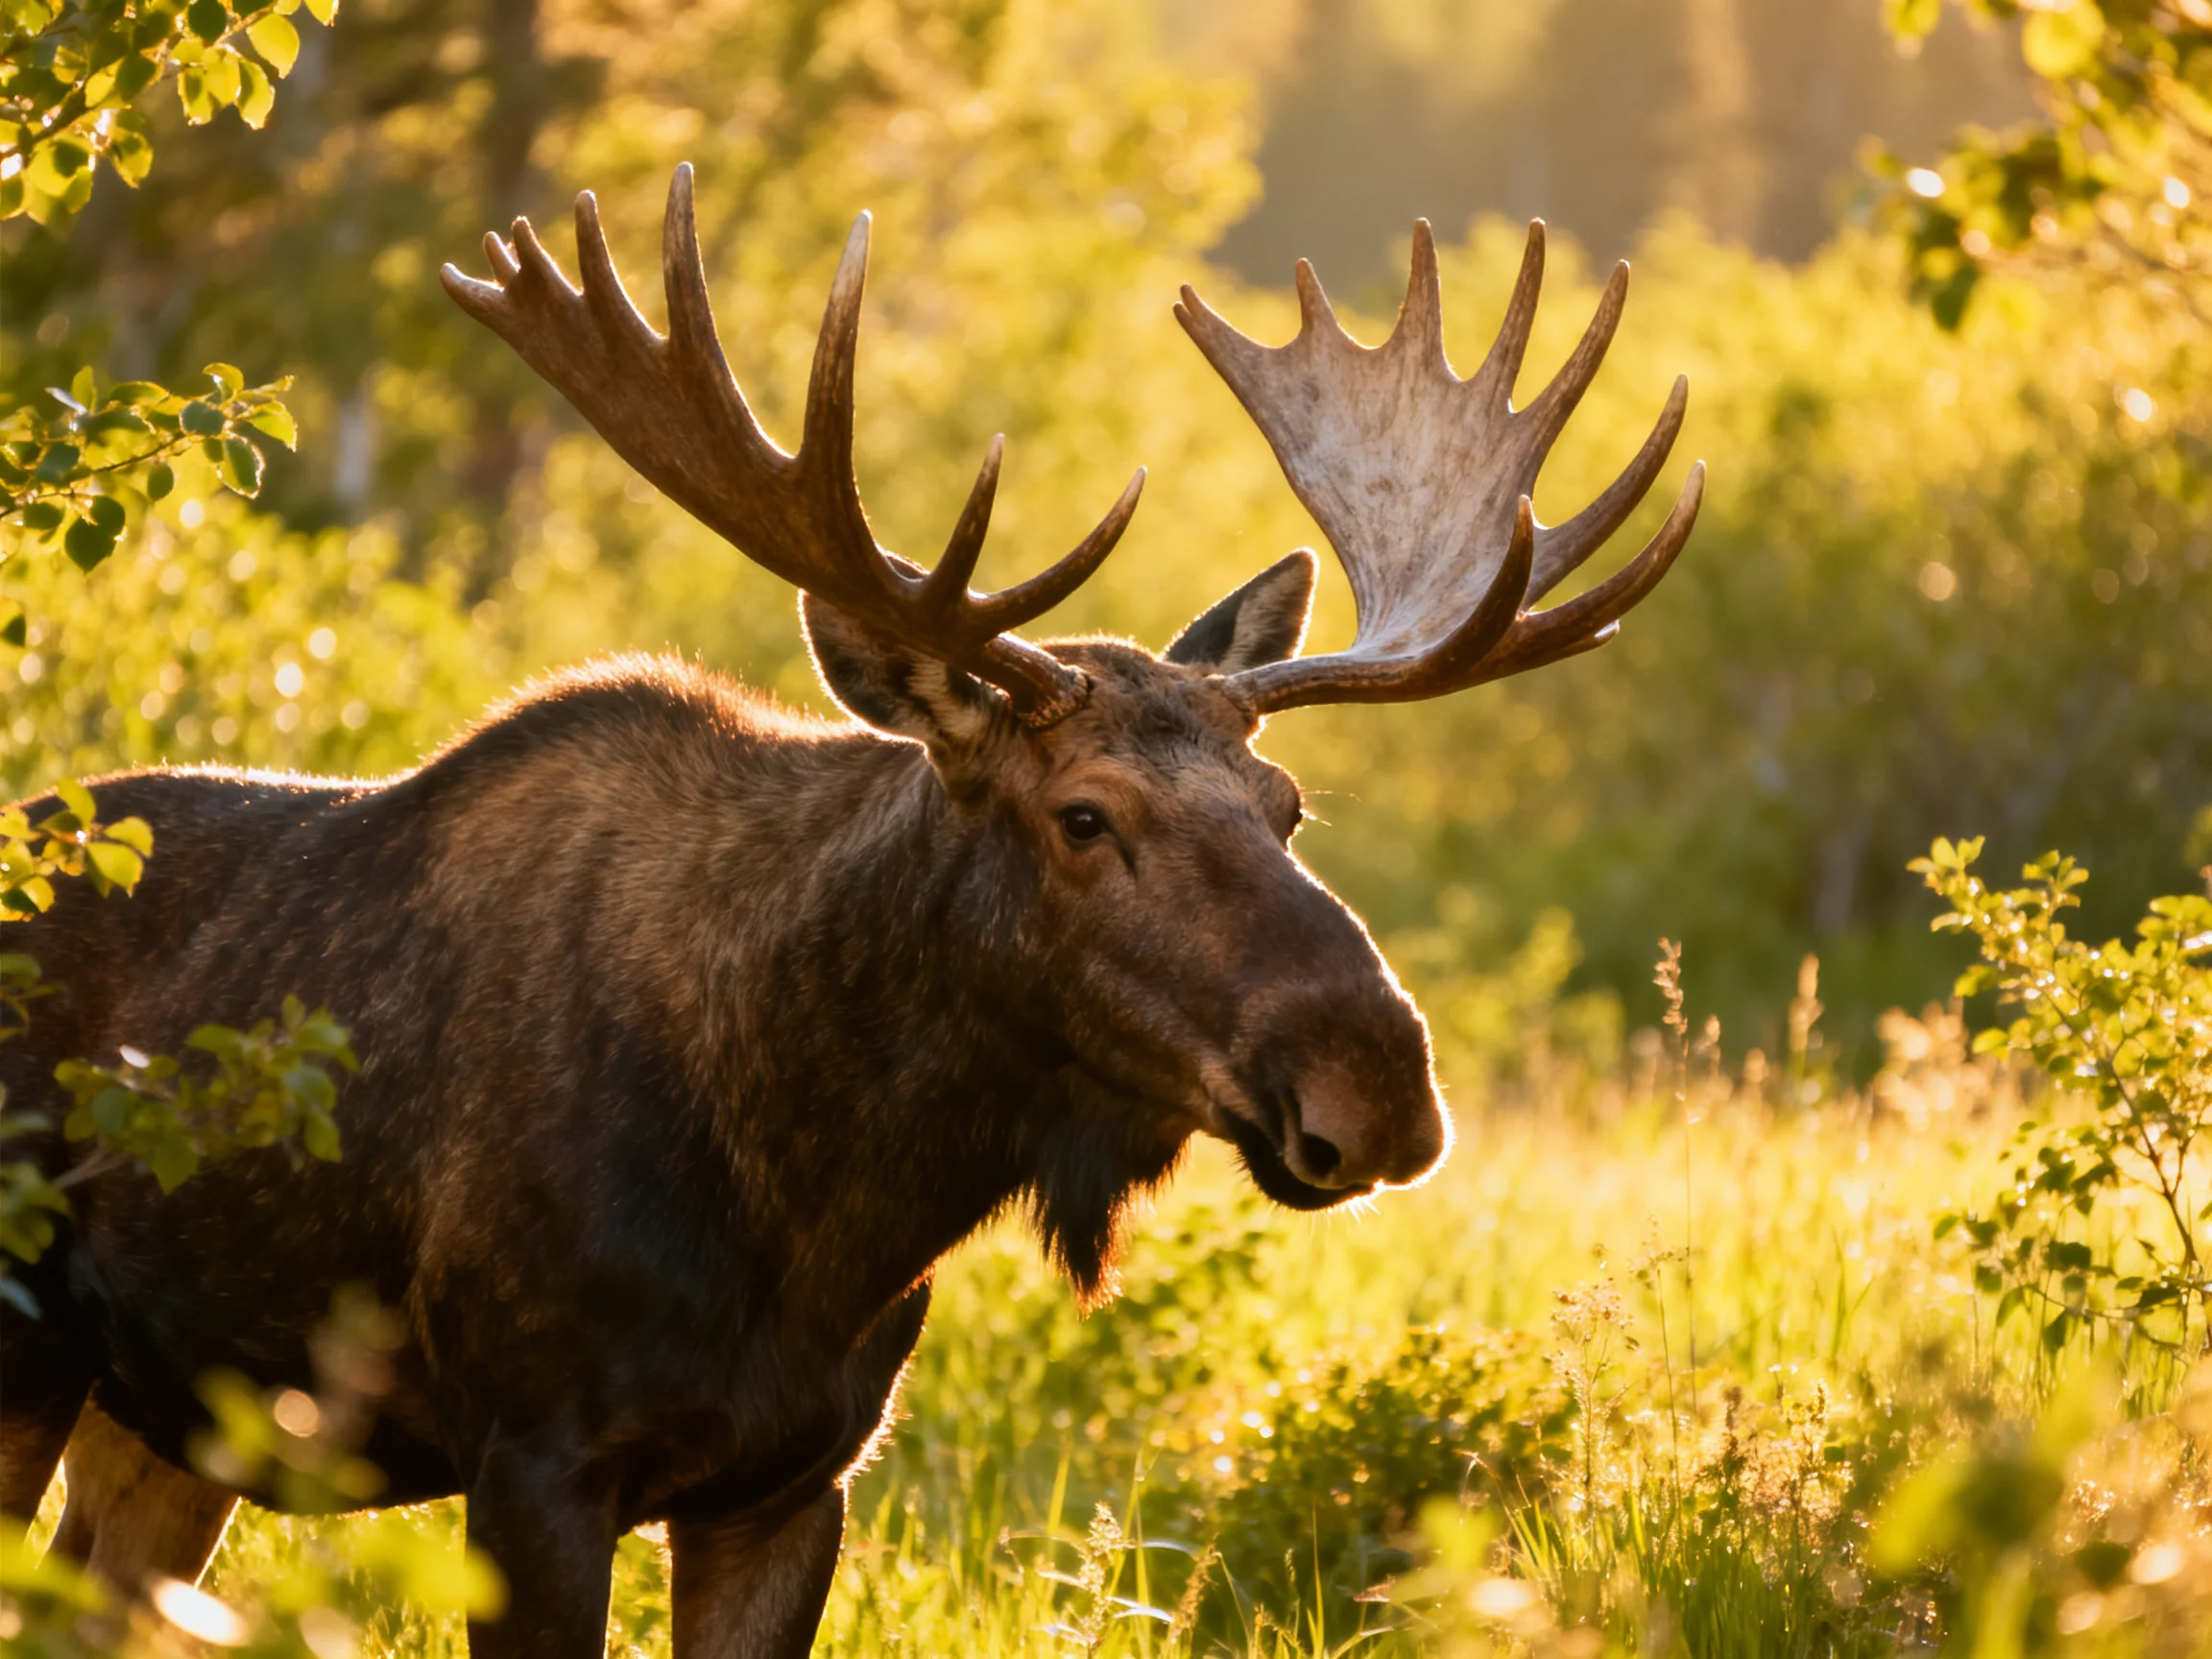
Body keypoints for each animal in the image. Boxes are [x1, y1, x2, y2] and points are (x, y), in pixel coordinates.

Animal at [0, 165, 1701, 1656]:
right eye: (1084, 818)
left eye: (1286, 807)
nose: (1381, 1082)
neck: (817, 1195)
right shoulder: (532, 1455)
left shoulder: (797, 1481)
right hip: (37, 1358)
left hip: (164, 1422)